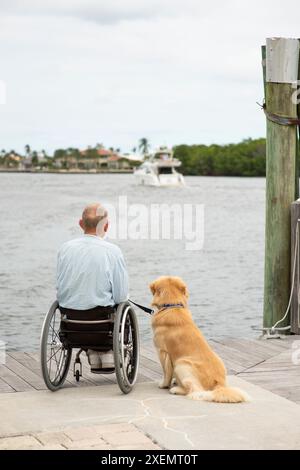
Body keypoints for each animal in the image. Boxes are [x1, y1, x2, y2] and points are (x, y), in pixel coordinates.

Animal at [149, 276, 248, 404]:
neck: (172, 306)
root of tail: (219, 383)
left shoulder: (162, 352)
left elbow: (166, 372)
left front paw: (164, 384)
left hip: (181, 363)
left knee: (195, 390)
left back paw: (176, 389)